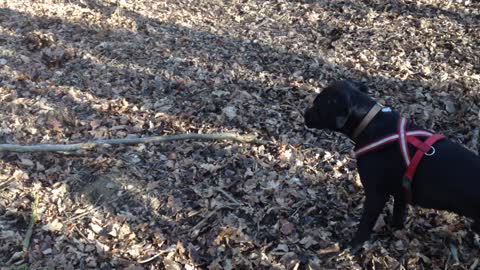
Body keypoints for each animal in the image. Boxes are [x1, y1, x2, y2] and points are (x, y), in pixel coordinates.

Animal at [304, 80, 480, 249]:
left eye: (318, 104)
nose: (304, 114)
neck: (369, 122)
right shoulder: (401, 191)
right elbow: (398, 214)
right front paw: (395, 228)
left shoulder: (376, 195)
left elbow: (365, 225)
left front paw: (353, 247)